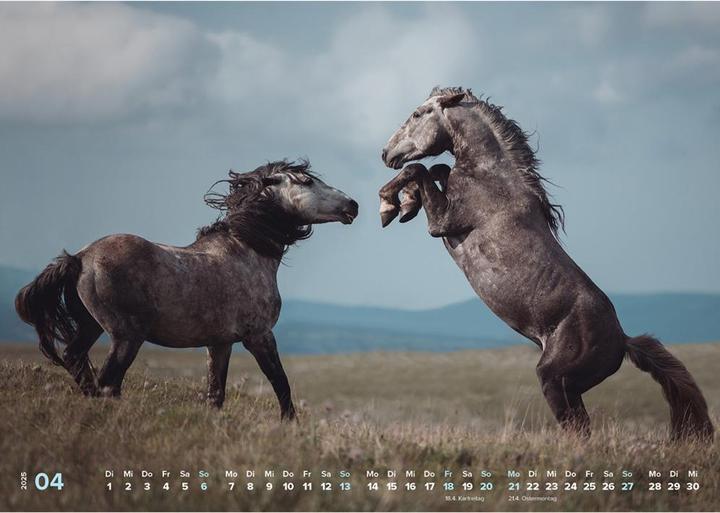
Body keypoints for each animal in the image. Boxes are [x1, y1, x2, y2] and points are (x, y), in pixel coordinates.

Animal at [15, 160, 358, 420]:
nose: (352, 206)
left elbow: (216, 393)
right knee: (107, 381)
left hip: (91, 326)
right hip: (126, 337)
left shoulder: (219, 343)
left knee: (77, 361)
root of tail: (80, 258)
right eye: (307, 181)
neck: (247, 250)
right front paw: (290, 425)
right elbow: (281, 383)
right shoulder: (259, 336)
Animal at [379, 87, 714, 441]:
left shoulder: (443, 222)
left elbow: (421, 170)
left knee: (578, 430)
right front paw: (406, 204)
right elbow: (438, 169)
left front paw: (389, 206)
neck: (490, 177)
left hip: (554, 380)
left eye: (418, 114)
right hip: (569, 388)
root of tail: (623, 340)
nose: (386, 153)